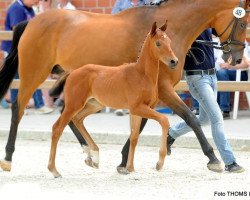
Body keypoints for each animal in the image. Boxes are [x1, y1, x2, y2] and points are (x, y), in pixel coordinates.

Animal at [48, 21, 178, 177]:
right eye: (158, 43)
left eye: (169, 41)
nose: (174, 61)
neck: (142, 75)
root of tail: (72, 72)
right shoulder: (138, 107)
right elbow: (164, 120)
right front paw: (159, 163)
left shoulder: (136, 111)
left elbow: (134, 137)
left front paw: (130, 168)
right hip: (73, 104)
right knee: (57, 128)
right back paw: (54, 170)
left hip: (94, 105)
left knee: (78, 119)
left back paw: (94, 157)